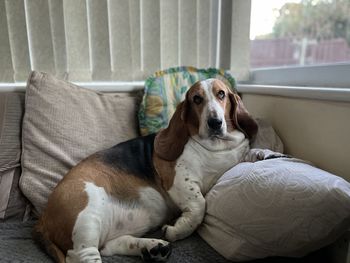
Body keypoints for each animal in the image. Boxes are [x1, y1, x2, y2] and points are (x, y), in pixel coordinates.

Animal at [33, 79, 258, 262]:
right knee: (83, 255)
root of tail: (41, 219)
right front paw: (176, 230)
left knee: (110, 246)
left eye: (221, 94)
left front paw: (260, 155)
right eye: (196, 99)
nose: (215, 122)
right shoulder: (178, 179)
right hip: (86, 217)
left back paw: (152, 248)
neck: (216, 147)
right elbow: (199, 206)